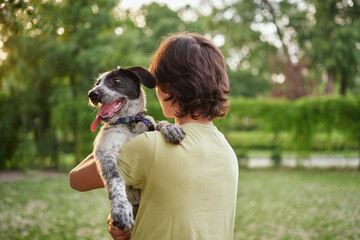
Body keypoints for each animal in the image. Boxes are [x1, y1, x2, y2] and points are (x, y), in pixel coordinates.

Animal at [88, 66, 186, 231]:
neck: (129, 123)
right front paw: (120, 209)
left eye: (116, 80)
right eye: (97, 83)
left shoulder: (149, 124)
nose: (92, 94)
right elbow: (115, 180)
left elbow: (158, 123)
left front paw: (171, 128)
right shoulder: (106, 153)